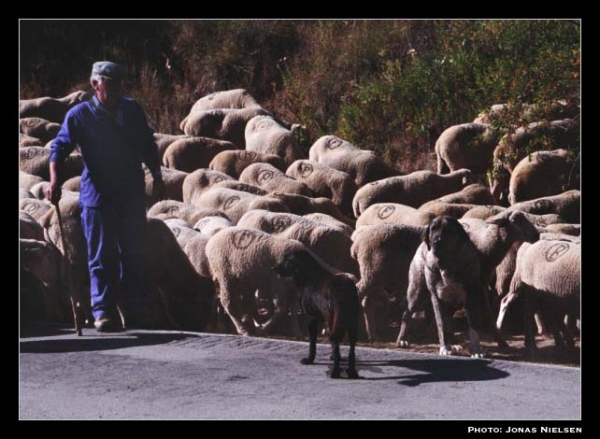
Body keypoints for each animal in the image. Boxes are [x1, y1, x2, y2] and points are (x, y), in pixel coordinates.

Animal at [274, 249, 360, 380]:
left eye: (287, 261)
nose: (274, 268)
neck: (308, 275)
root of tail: (343, 288)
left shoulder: (311, 319)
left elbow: (312, 343)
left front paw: (309, 360)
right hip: (351, 323)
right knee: (351, 349)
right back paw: (352, 372)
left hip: (333, 319)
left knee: (335, 343)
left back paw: (334, 373)